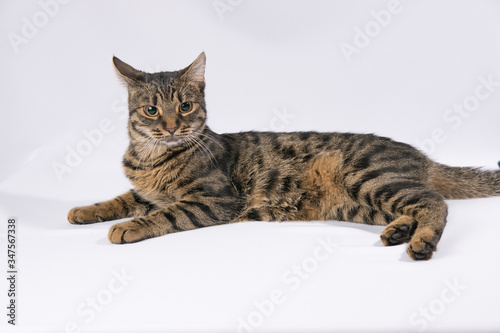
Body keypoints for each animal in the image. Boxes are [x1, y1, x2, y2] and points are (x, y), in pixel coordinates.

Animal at [67, 52, 500, 260]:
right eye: (152, 110)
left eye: (186, 107)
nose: (173, 127)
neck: (152, 156)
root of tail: (421, 156)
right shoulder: (143, 191)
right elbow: (119, 198)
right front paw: (84, 210)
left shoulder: (214, 199)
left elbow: (164, 214)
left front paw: (128, 227)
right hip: (361, 204)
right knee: (415, 205)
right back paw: (399, 231)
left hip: (369, 178)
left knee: (434, 202)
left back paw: (422, 241)